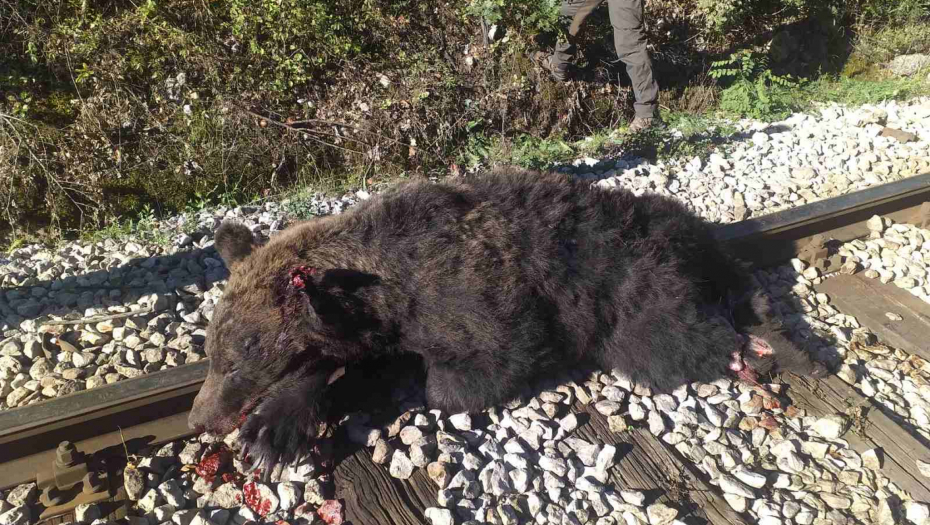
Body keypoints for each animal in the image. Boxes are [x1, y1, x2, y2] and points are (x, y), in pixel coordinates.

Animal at [185, 167, 824, 470]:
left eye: (239, 356)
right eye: (210, 353)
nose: (198, 419)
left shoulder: (483, 308)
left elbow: (465, 374)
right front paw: (276, 425)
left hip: (639, 295)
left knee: (676, 340)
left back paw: (758, 351)